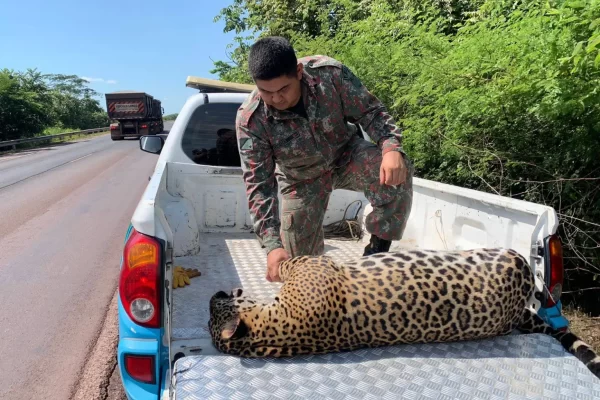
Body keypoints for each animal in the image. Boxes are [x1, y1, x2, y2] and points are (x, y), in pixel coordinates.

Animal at [208, 247, 600, 378]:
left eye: (211, 310)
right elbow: (293, 261)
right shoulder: (311, 267)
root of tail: (515, 315)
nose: (214, 293)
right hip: (511, 258)